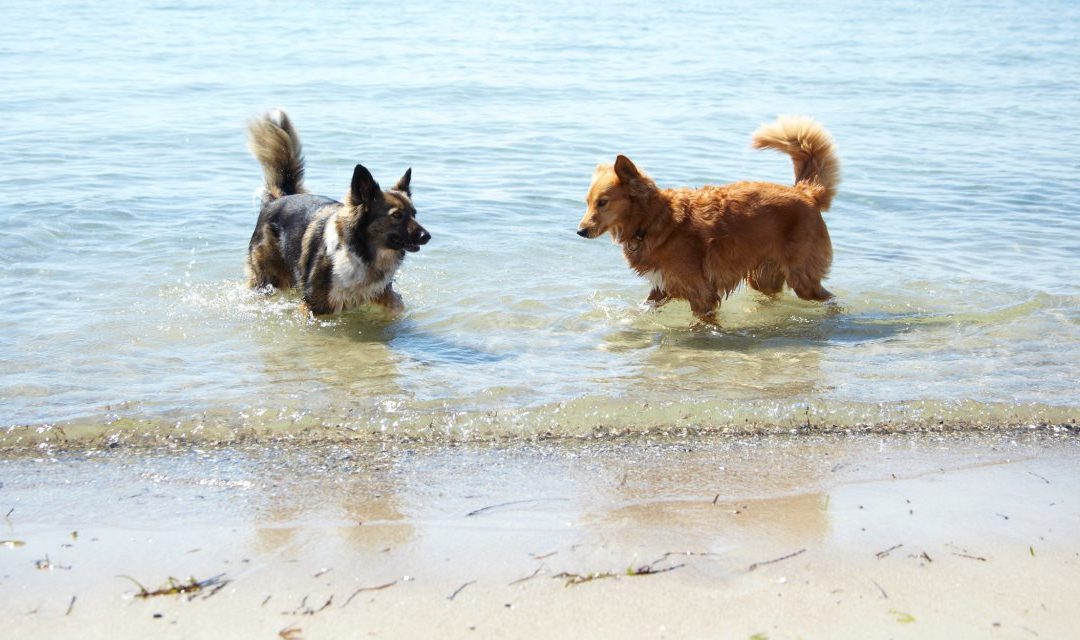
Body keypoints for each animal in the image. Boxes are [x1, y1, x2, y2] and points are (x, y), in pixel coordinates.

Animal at [578, 114, 838, 321]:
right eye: (588, 202)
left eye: (602, 202)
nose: (580, 231)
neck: (653, 220)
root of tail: (806, 193)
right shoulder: (661, 288)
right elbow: (641, 308)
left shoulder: (701, 294)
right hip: (764, 277)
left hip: (802, 279)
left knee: (830, 298)